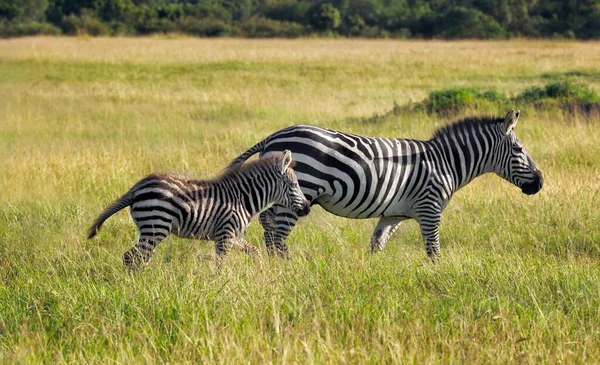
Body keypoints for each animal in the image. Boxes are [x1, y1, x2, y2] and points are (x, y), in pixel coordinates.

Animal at [88, 150, 310, 268]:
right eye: (293, 185)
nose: (307, 209)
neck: (243, 199)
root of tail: (138, 187)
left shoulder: (232, 236)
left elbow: (254, 251)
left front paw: (261, 271)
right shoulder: (225, 235)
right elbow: (220, 266)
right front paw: (219, 289)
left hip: (152, 229)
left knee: (137, 257)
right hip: (156, 226)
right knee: (131, 257)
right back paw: (137, 286)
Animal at [229, 109, 544, 258]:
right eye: (519, 150)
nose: (540, 184)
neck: (446, 163)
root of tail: (274, 136)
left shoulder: (393, 215)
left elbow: (376, 247)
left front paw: (369, 278)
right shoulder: (430, 209)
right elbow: (434, 251)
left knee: (268, 222)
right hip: (299, 191)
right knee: (277, 233)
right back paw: (284, 268)